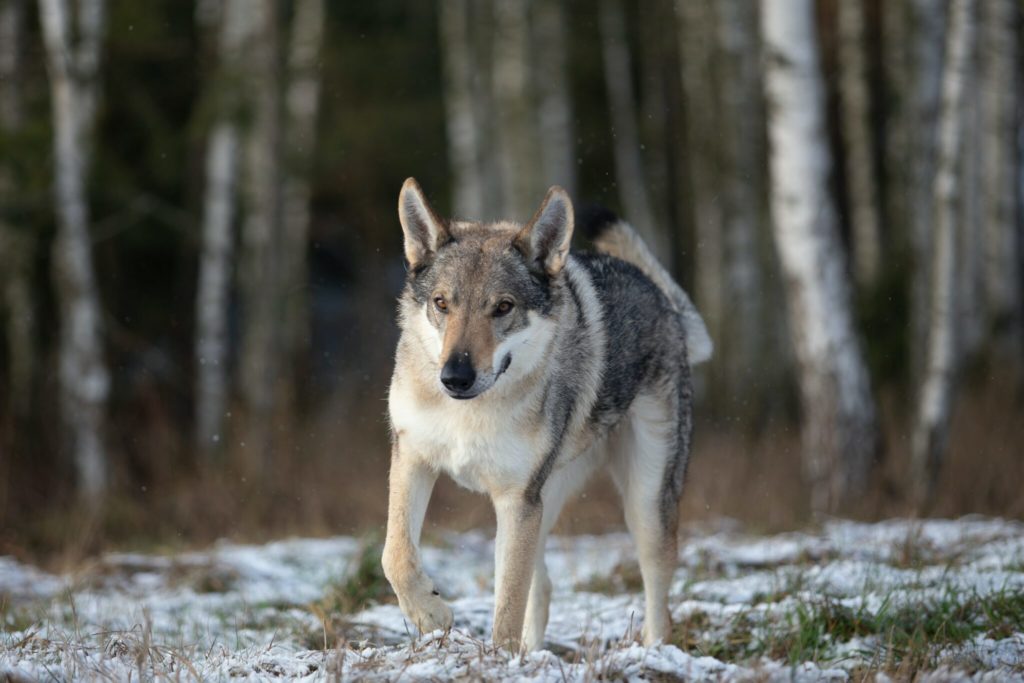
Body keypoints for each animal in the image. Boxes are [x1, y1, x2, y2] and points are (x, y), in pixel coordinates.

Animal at [380, 178, 708, 651]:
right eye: (442, 304)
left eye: (503, 307)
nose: (455, 377)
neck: (469, 414)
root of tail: (664, 300)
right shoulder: (412, 458)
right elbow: (396, 556)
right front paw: (430, 614)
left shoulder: (517, 501)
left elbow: (507, 609)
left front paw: (495, 657)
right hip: (543, 503)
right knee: (544, 584)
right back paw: (535, 653)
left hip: (643, 505)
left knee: (658, 597)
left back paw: (652, 651)